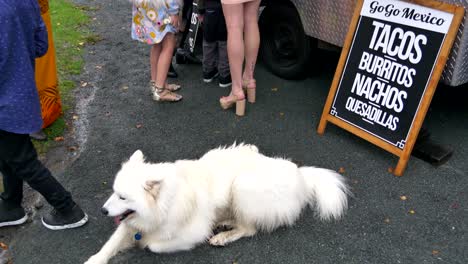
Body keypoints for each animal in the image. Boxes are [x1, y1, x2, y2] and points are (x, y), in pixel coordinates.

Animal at [84, 144, 350, 264]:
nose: (103, 210)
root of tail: (300, 176)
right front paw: (94, 259)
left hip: (242, 187)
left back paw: (223, 236)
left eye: (123, 197)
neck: (163, 204)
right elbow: (111, 243)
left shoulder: (190, 233)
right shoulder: (130, 224)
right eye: (114, 192)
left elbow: (153, 246)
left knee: (249, 228)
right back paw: (224, 222)